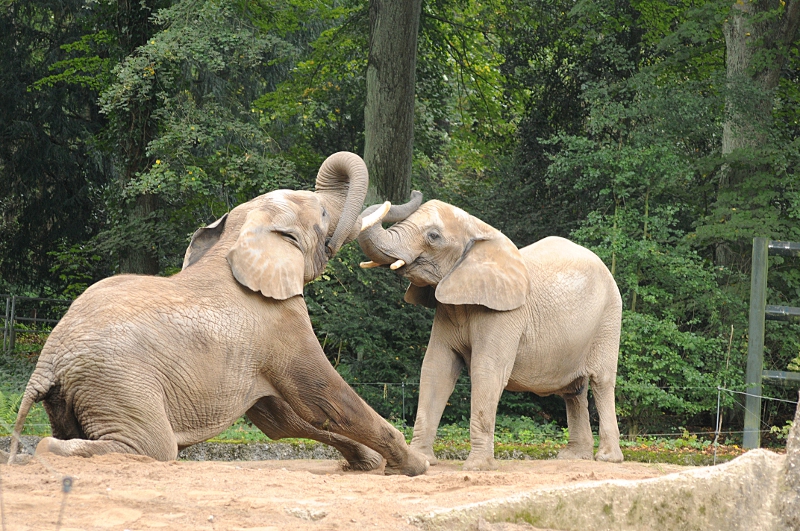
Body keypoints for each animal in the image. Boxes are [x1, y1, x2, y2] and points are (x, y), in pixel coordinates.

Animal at [7, 152, 429, 476]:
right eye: (324, 213)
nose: (415, 192)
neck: (239, 236)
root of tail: (47, 360)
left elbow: (283, 419)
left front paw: (369, 464)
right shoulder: (280, 322)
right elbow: (324, 400)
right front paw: (415, 466)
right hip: (120, 381)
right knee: (152, 445)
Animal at [357, 193, 624, 471]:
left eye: (433, 236)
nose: (414, 193)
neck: (479, 230)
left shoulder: (505, 313)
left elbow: (487, 370)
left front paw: (476, 467)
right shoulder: (446, 309)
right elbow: (435, 369)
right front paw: (424, 461)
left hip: (609, 316)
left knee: (602, 381)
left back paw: (607, 458)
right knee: (574, 390)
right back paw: (573, 457)